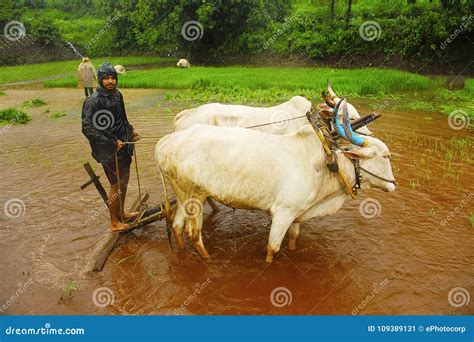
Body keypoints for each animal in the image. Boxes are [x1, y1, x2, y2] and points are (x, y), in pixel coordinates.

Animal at [157, 101, 394, 262]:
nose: (393, 184)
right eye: (385, 156)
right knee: (194, 234)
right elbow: (272, 249)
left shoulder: (297, 215)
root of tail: (164, 142)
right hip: (195, 197)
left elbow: (293, 241)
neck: (328, 164)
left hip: (183, 196)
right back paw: (207, 259)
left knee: (177, 227)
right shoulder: (283, 213)